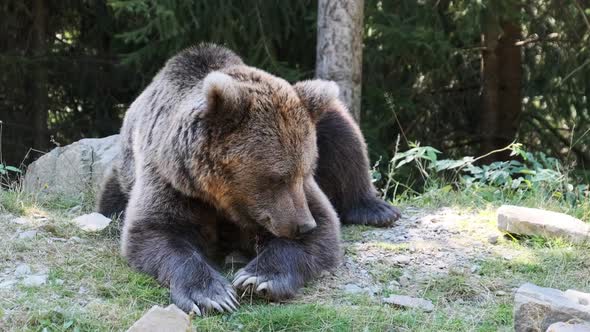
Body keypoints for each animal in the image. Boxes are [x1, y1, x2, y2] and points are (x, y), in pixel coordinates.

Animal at [98, 43, 402, 314]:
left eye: (305, 171)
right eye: (277, 177)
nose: (304, 225)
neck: (222, 198)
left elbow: (324, 226)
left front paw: (259, 278)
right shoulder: (172, 181)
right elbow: (156, 231)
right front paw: (212, 295)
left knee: (343, 131)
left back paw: (376, 210)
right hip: (121, 179)